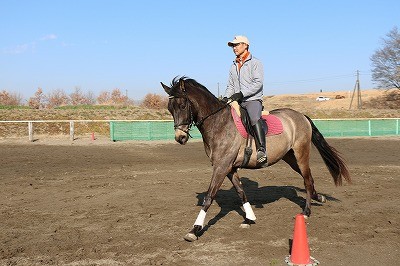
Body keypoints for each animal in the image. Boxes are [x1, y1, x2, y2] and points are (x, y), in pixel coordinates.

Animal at [159, 76, 350, 241]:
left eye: (182, 105)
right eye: (170, 108)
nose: (180, 138)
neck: (218, 123)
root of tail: (301, 116)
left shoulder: (221, 167)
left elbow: (209, 196)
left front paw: (195, 229)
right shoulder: (229, 168)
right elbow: (241, 192)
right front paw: (249, 219)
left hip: (301, 153)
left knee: (307, 179)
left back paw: (306, 212)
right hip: (290, 158)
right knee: (307, 178)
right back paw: (320, 198)